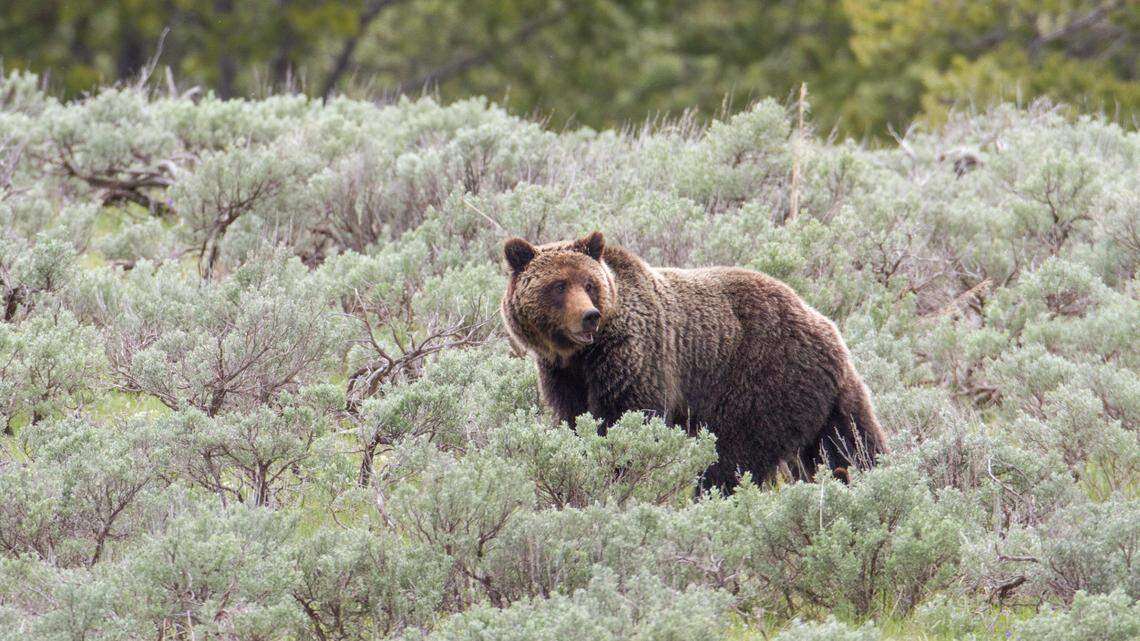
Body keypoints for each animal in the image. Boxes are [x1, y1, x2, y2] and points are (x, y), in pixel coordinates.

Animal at [500, 231, 888, 491]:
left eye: (589, 283)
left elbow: (628, 418)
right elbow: (575, 420)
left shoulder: (637, 358)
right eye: (558, 285)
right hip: (824, 398)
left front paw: (623, 472)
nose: (589, 316)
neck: (581, 356)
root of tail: (827, 328)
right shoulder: (562, 376)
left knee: (734, 455)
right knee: (849, 444)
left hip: (762, 380)